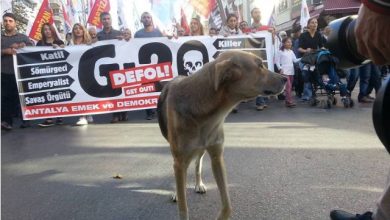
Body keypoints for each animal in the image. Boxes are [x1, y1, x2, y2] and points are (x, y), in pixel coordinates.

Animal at [156, 50, 286, 219]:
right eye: (259, 65)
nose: (286, 78)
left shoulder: (217, 157)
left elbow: (228, 206)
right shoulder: (180, 160)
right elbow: (183, 208)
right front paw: (180, 195)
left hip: (201, 150)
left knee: (197, 163)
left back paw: (198, 184)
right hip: (178, 155)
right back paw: (177, 192)